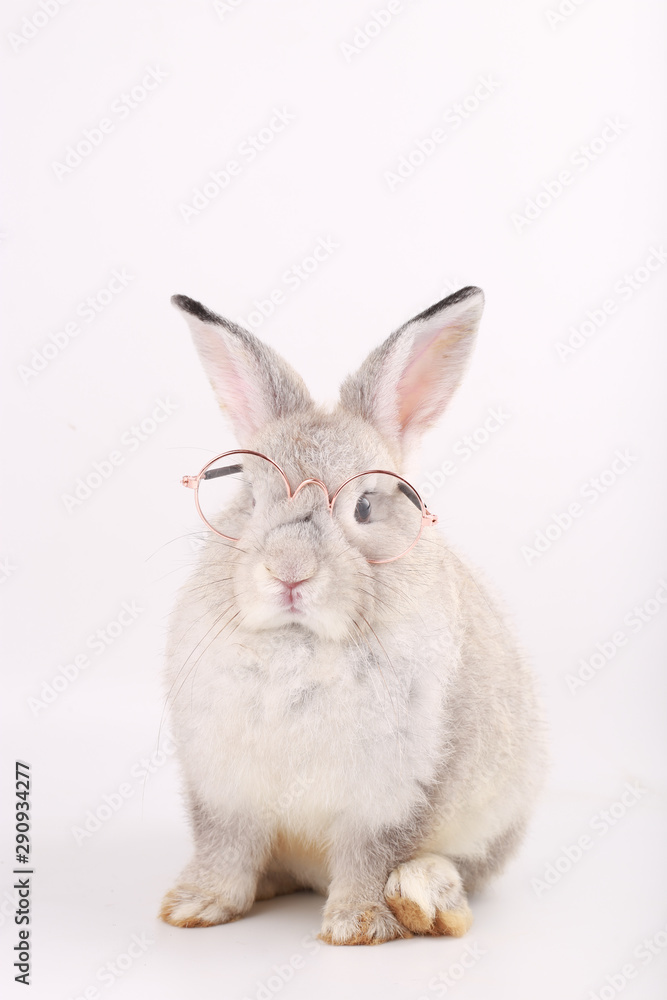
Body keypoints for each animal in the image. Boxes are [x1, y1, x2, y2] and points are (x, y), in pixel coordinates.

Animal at [159, 286, 547, 945]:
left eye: (364, 507)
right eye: (251, 499)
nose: (289, 572)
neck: (299, 641)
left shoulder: (393, 797)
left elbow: (373, 855)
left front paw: (357, 926)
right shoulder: (225, 792)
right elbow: (226, 850)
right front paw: (196, 906)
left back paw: (424, 899)